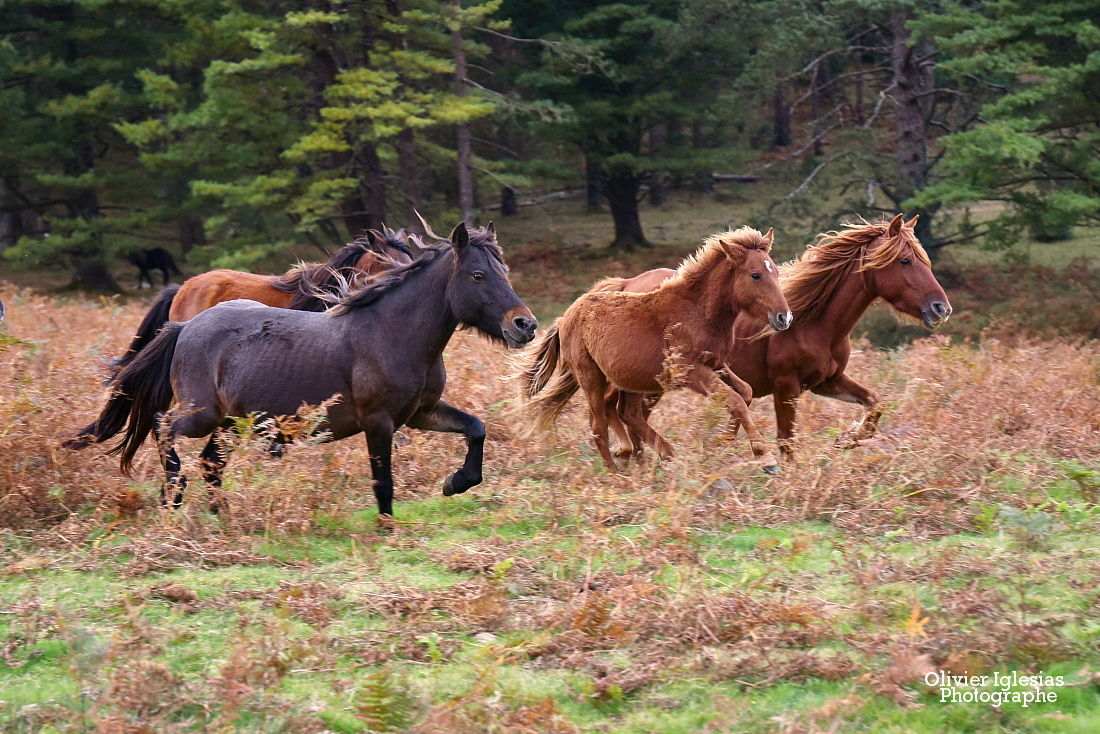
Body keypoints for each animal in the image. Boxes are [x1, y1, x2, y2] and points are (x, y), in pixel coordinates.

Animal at [64, 222, 536, 517]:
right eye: (478, 275)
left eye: (503, 270)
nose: (525, 325)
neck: (390, 332)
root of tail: (184, 326)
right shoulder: (379, 421)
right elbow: (383, 481)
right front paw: (387, 529)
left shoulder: (419, 413)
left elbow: (475, 428)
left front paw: (457, 482)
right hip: (202, 415)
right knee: (164, 429)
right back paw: (174, 497)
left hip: (232, 423)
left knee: (210, 463)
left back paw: (220, 515)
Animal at [514, 226, 792, 473]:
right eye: (755, 275)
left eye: (776, 272)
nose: (784, 317)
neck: (699, 312)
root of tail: (565, 317)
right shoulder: (689, 371)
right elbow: (735, 399)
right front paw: (765, 458)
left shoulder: (716, 364)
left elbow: (745, 392)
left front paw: (720, 442)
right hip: (591, 376)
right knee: (598, 424)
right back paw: (617, 473)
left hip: (632, 380)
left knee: (629, 414)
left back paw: (657, 455)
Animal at [602, 215, 954, 462]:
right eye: (905, 260)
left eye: (925, 259)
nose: (941, 308)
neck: (815, 322)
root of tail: (625, 284)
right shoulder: (786, 387)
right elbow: (786, 441)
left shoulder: (828, 382)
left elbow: (875, 404)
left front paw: (845, 440)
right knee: (622, 414)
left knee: (628, 416)